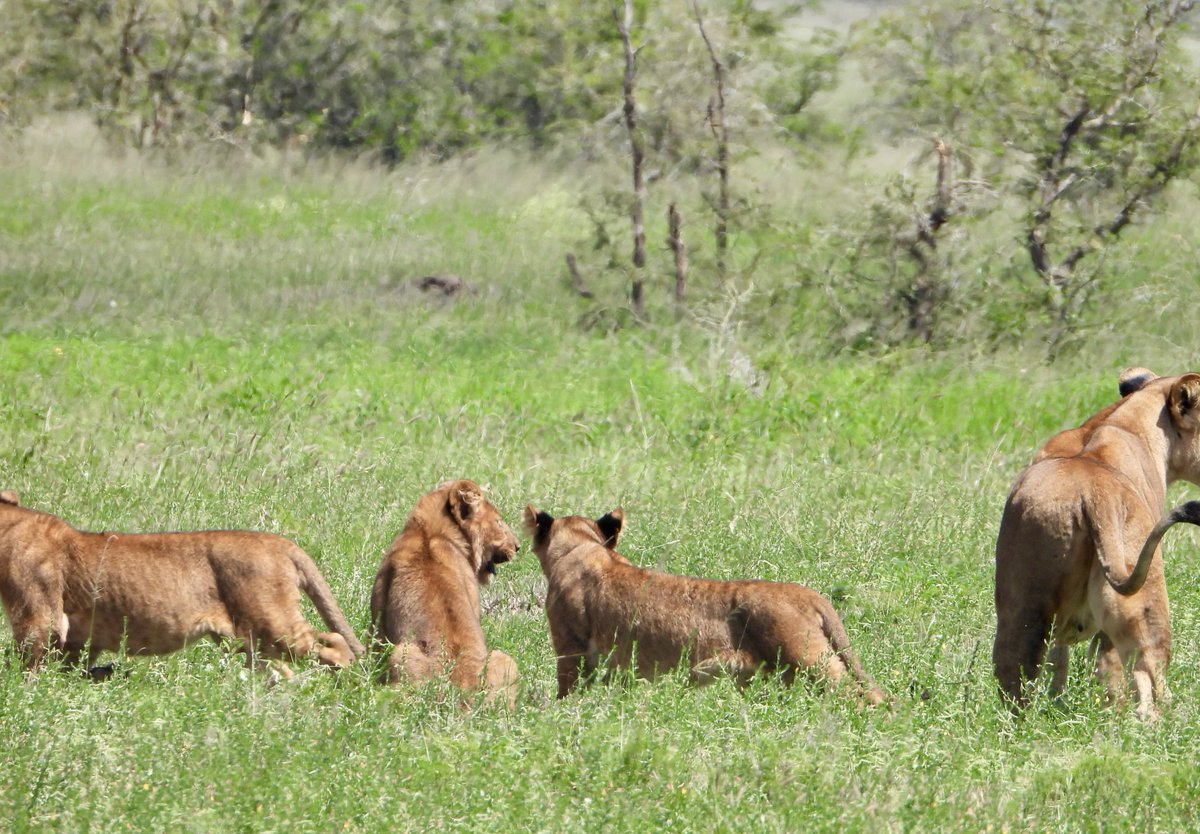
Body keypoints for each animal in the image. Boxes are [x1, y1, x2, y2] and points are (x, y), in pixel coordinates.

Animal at [0, 491, 364, 678]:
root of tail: (281, 543)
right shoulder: (75, 637)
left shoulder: (39, 619)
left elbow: (28, 666)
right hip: (250, 639)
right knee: (280, 670)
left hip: (272, 622)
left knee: (333, 643)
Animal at [524, 505, 886, 704]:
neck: (581, 547)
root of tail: (809, 595)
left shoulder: (572, 648)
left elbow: (569, 689)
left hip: (808, 660)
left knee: (860, 695)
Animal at [994, 370, 1200, 718]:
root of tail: (1095, 494)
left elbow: (1059, 663)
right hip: (1145, 598)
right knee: (1139, 677)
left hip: (1022, 603)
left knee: (1014, 675)